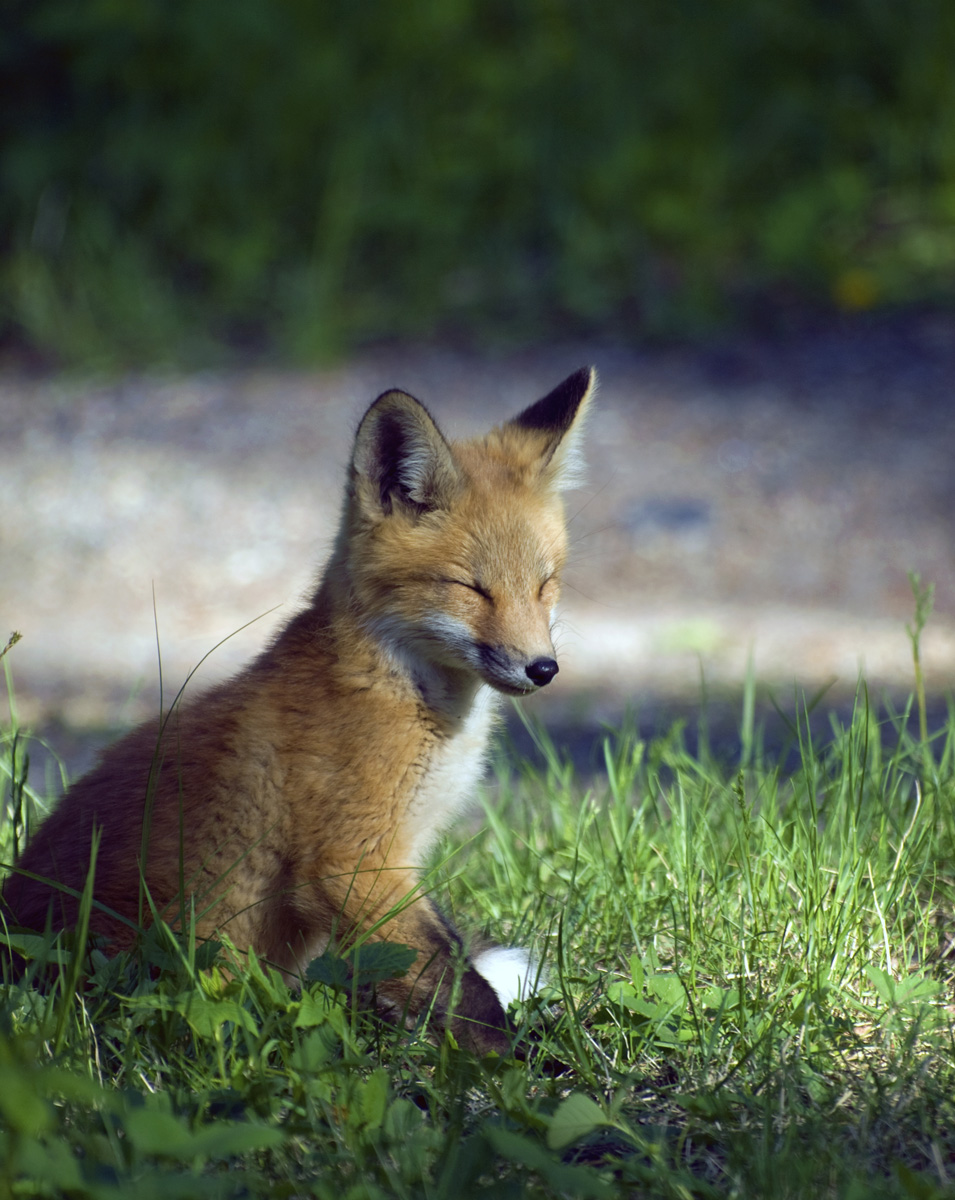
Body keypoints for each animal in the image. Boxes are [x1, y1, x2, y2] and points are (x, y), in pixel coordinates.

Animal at [2, 366, 595, 1053]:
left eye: (545, 584)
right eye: (471, 588)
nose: (543, 669)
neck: (404, 695)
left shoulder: (396, 868)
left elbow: (441, 960)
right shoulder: (352, 864)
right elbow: (461, 988)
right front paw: (518, 1065)